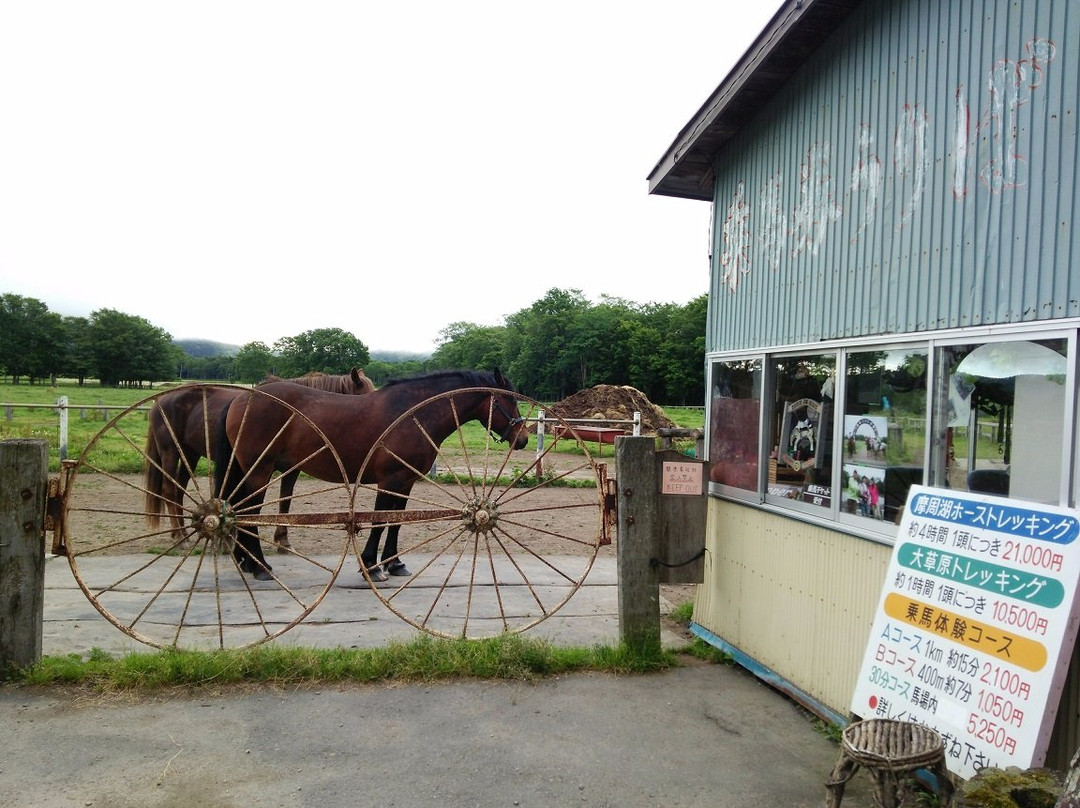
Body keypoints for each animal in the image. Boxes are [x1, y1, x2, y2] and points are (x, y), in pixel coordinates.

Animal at [143, 365, 373, 548]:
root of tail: (161, 400)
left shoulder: (292, 470)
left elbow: (285, 500)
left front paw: (282, 539)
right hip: (171, 452)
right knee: (169, 489)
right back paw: (178, 534)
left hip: (190, 453)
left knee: (179, 490)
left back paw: (182, 531)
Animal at [212, 365, 529, 578]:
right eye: (509, 399)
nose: (523, 438)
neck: (413, 413)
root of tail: (241, 399)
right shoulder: (390, 479)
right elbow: (379, 520)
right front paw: (371, 566)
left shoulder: (405, 482)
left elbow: (396, 521)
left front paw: (394, 563)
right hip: (259, 470)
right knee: (250, 511)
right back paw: (260, 566)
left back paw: (246, 561)